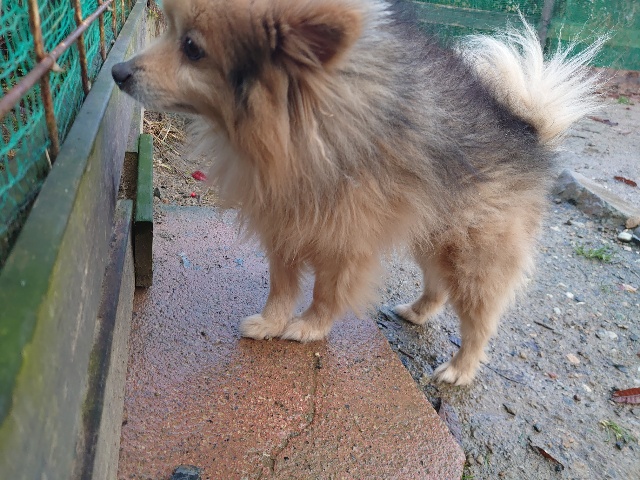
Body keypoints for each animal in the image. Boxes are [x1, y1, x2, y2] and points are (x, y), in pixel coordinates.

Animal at [112, 0, 603, 385]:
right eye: (168, 29)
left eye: (192, 48)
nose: (116, 70)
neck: (302, 127)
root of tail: (528, 131)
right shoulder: (285, 223)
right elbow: (282, 284)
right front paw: (272, 322)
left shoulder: (345, 238)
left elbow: (327, 292)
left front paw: (308, 329)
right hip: (433, 235)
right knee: (437, 285)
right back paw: (418, 312)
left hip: (474, 257)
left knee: (479, 320)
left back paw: (460, 369)